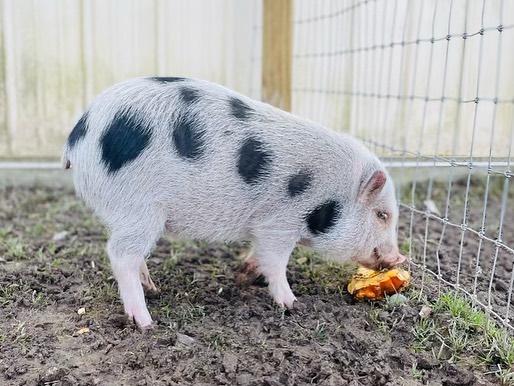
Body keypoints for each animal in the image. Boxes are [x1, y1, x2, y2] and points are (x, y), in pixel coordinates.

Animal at [61, 77, 404, 328]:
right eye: (382, 214)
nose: (400, 257)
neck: (331, 194)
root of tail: (78, 135)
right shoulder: (279, 222)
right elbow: (276, 263)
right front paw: (292, 304)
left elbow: (259, 256)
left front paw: (242, 275)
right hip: (139, 208)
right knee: (120, 254)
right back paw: (146, 322)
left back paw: (152, 289)